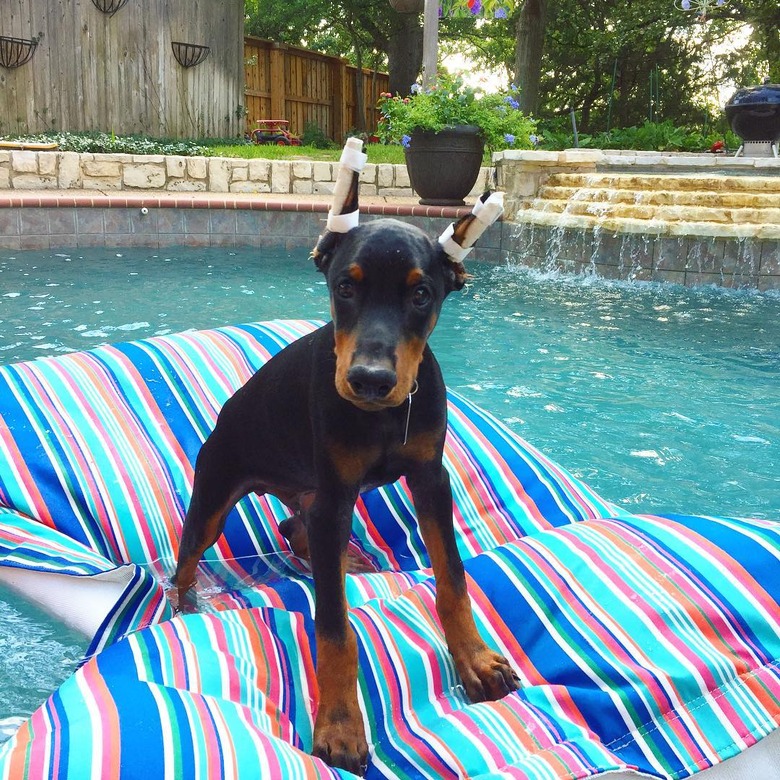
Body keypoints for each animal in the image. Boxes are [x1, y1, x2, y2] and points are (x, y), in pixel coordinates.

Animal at [176, 140, 516, 772]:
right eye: (345, 287)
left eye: (421, 293)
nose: (370, 380)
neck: (381, 418)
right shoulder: (336, 494)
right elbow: (333, 626)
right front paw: (338, 725)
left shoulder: (429, 479)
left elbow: (453, 578)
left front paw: (476, 660)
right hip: (218, 493)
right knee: (187, 563)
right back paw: (183, 606)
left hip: (316, 494)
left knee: (295, 525)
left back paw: (344, 557)